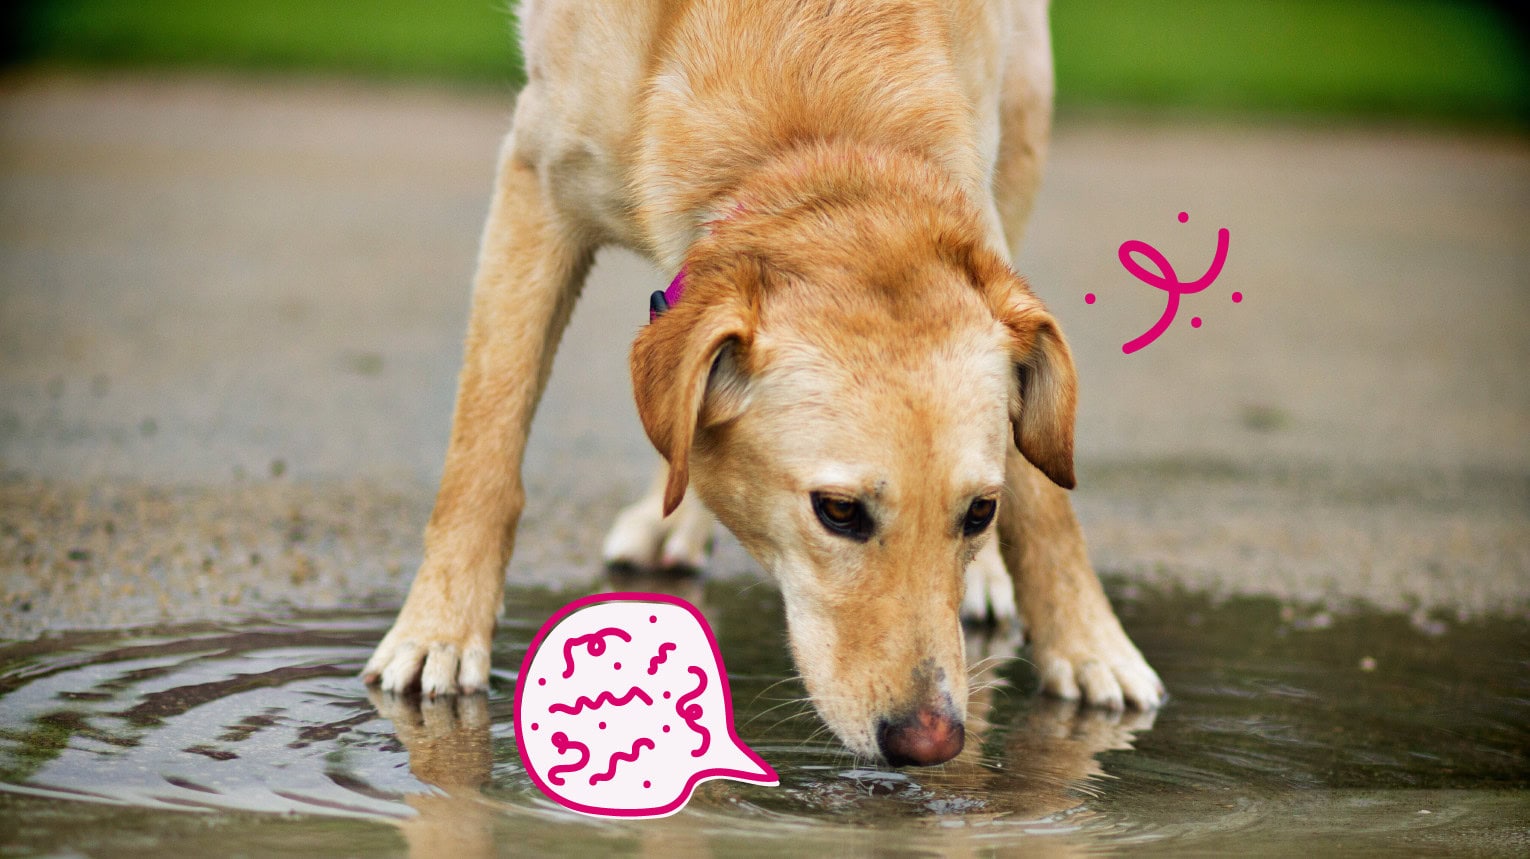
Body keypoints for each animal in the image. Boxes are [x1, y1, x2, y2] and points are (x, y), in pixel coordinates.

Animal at [367, 0, 1156, 762]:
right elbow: (486, 445)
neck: (819, 132)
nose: (932, 742)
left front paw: (1088, 643)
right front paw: (438, 631)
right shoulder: (537, 183)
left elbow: (1044, 500)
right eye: (838, 511)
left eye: (979, 511)